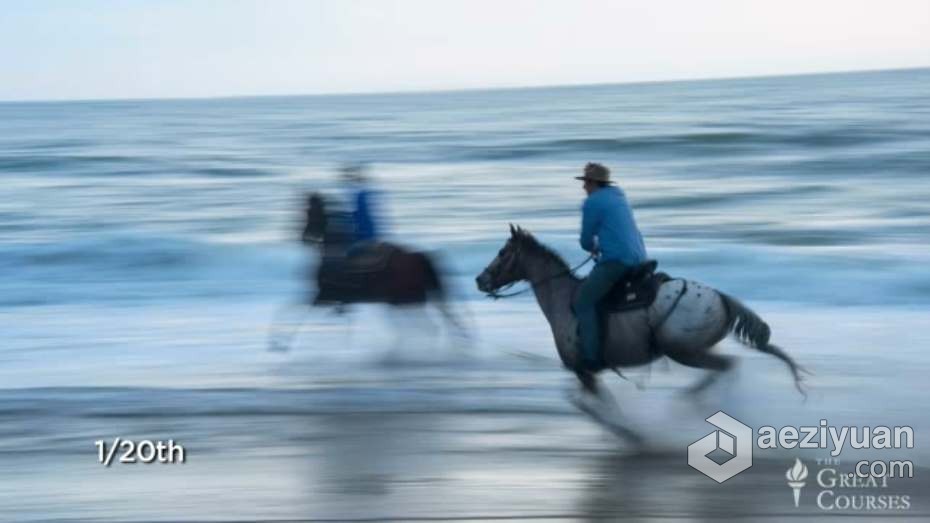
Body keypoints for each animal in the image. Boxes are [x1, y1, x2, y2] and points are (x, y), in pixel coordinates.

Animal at [478, 225, 804, 402]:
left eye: (503, 253)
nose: (480, 280)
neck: (562, 297)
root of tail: (721, 298)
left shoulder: (584, 372)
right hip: (693, 349)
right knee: (726, 368)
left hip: (683, 350)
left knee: (725, 367)